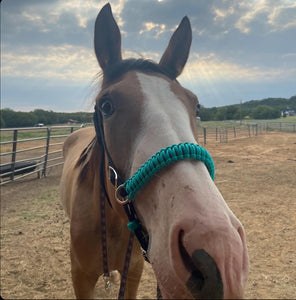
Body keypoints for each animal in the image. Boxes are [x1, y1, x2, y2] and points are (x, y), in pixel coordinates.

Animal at [59, 3, 247, 298]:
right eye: (106, 106)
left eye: (196, 105)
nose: (221, 255)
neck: (112, 224)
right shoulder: (80, 278)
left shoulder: (134, 270)